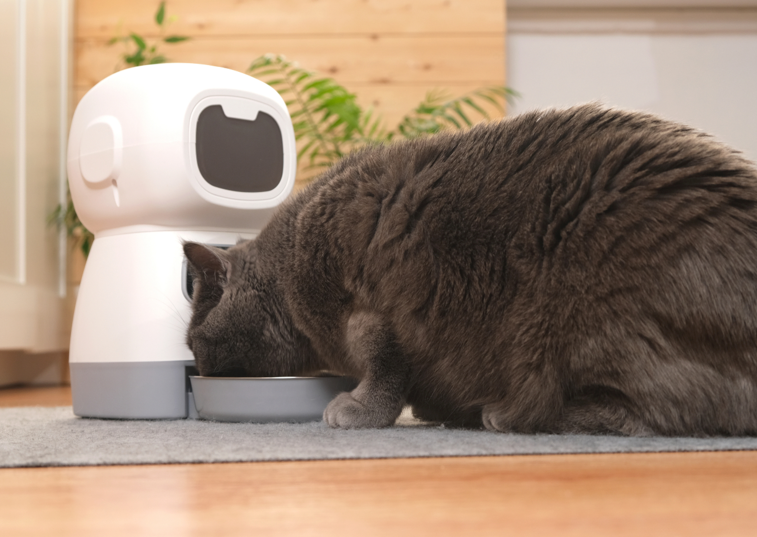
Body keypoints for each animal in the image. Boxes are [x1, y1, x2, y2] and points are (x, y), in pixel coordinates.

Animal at [183, 102, 756, 434]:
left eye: (194, 340)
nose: (195, 367)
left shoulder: (368, 312)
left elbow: (384, 364)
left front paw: (358, 410)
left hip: (583, 315)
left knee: (664, 413)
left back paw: (508, 414)